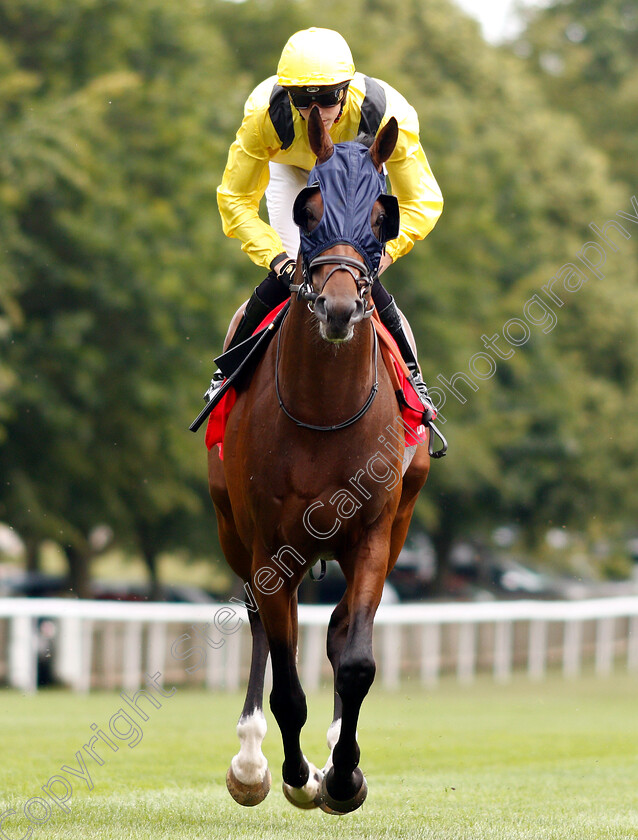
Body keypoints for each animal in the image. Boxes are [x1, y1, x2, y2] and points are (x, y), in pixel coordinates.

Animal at [208, 106, 432, 812]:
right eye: (307, 212)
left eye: (383, 214)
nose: (337, 306)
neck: (324, 411)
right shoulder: (267, 542)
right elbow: (285, 682)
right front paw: (293, 775)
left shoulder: (374, 531)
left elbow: (354, 657)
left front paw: (342, 774)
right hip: (234, 529)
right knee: (260, 623)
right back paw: (251, 762)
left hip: (395, 523)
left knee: (337, 630)